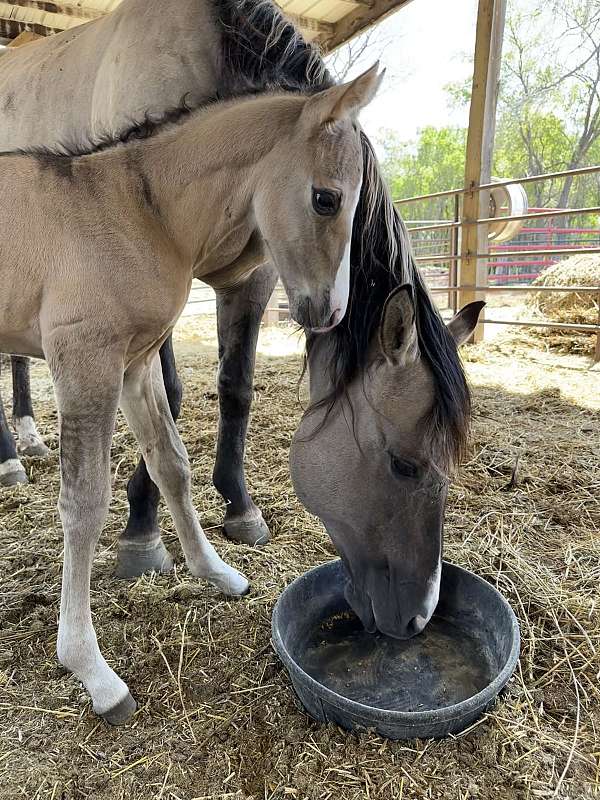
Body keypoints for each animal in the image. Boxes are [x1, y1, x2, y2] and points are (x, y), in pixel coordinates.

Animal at [0, 0, 482, 712]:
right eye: (402, 464)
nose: (417, 616)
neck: (132, 200)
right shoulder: (86, 357)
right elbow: (83, 502)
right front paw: (92, 668)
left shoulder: (137, 358)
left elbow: (172, 461)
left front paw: (217, 570)